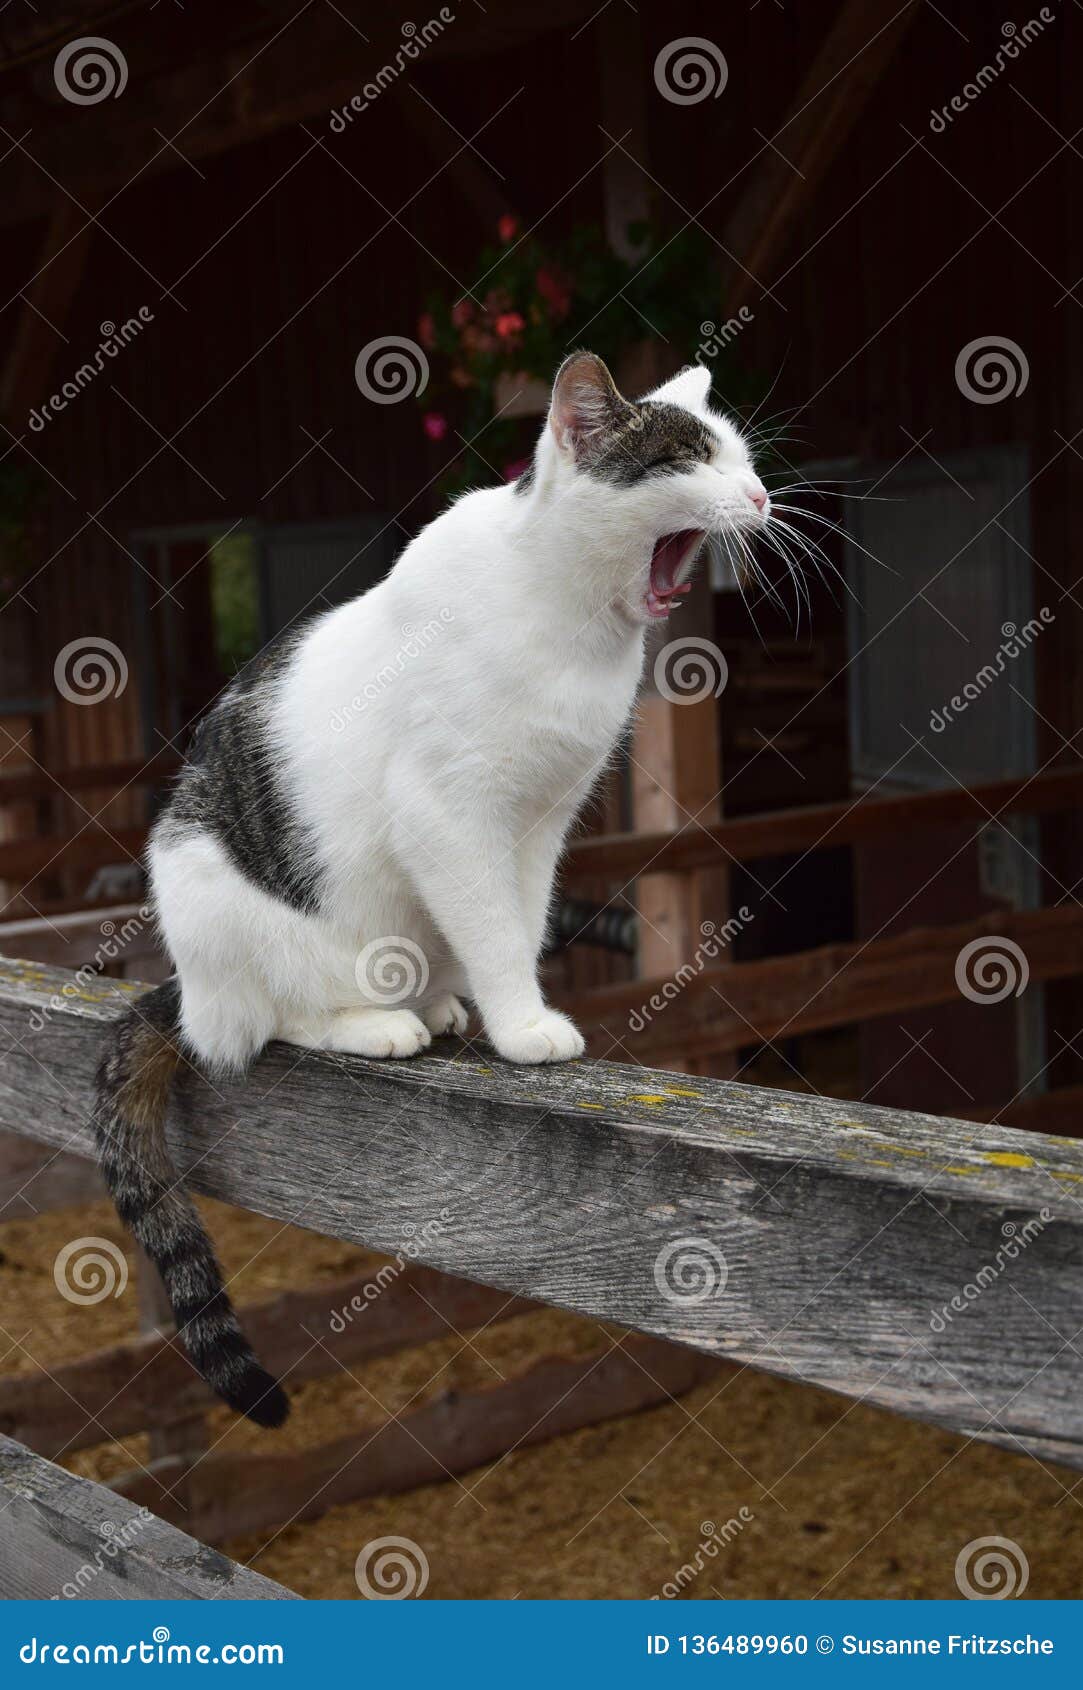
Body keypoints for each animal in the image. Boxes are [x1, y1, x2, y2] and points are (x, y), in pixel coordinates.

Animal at [92, 346, 770, 1426]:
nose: (760, 496)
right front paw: (523, 1027)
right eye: (692, 459)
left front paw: (504, 1011)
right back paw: (376, 1023)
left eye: (743, 459)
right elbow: (491, 929)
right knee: (257, 1023)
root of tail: (183, 986)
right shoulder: (449, 817)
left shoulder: (541, 824)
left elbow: (520, 925)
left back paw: (438, 1004)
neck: (570, 621)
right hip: (208, 887)